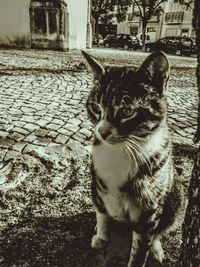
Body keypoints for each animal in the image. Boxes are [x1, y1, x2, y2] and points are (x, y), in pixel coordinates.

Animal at [82, 50, 184, 267]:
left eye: (127, 111)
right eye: (96, 107)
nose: (102, 132)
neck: (122, 149)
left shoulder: (149, 209)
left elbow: (141, 245)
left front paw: (144, 251)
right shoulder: (97, 183)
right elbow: (102, 212)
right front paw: (101, 235)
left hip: (177, 197)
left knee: (161, 229)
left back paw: (156, 248)